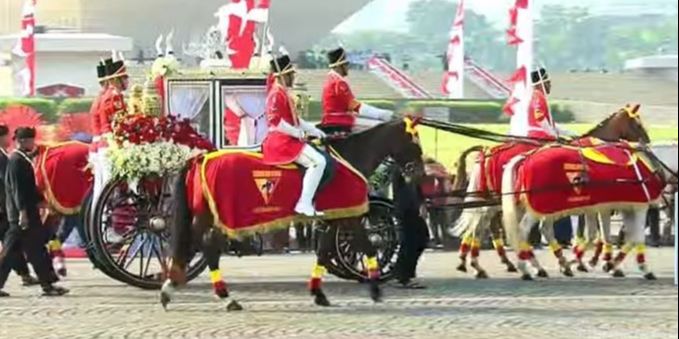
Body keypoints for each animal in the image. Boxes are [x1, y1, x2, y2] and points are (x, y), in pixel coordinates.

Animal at [161, 119, 424, 310]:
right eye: (414, 142)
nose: (419, 172)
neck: (348, 158)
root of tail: (200, 158)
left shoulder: (331, 218)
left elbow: (323, 252)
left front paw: (318, 293)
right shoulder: (349, 217)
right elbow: (368, 246)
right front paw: (375, 289)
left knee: (199, 246)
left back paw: (178, 287)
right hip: (214, 218)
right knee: (202, 247)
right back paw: (212, 294)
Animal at [448, 104, 652, 278]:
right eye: (637, 123)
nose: (647, 142)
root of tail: (487, 150)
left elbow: (593, 234)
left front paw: (590, 261)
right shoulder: (596, 205)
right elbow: (596, 234)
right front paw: (595, 262)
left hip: (494, 202)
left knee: (482, 227)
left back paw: (476, 263)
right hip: (499, 202)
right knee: (490, 228)